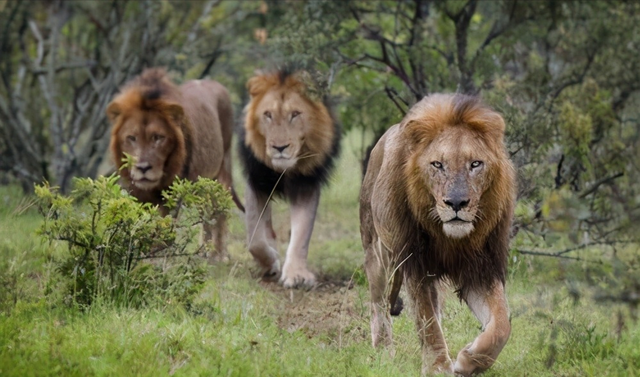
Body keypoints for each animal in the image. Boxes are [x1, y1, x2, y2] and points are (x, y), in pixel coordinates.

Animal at [107, 67, 242, 260]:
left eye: (158, 137)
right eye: (131, 138)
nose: (143, 168)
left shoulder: (173, 191)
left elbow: (163, 227)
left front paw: (156, 254)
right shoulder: (136, 192)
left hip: (223, 167)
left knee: (219, 210)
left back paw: (218, 255)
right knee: (206, 211)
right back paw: (204, 251)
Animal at [239, 70, 340, 288]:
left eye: (295, 114)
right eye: (267, 114)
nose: (280, 147)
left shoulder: (306, 184)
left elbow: (302, 232)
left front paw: (296, 275)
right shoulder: (256, 181)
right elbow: (254, 238)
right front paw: (271, 262)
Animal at [360, 92, 516, 374]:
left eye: (475, 164)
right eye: (437, 165)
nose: (456, 203)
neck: (450, 238)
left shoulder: (481, 268)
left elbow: (501, 325)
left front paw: (469, 360)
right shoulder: (415, 263)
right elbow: (427, 320)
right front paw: (438, 368)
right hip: (377, 251)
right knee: (378, 304)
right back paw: (384, 351)